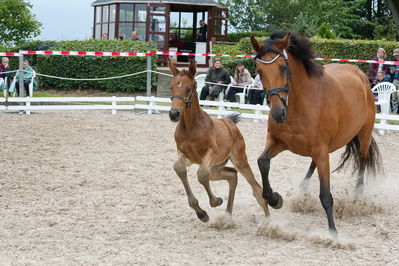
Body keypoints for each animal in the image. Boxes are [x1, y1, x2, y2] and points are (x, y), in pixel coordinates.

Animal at [169, 59, 268, 221]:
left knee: (256, 189)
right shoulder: (185, 154)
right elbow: (179, 168)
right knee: (232, 176)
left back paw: (269, 220)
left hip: (239, 160)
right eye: (171, 88)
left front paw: (214, 202)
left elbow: (202, 174)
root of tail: (230, 123)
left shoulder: (211, 153)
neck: (191, 127)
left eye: (189, 88)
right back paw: (227, 216)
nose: (173, 114)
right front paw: (201, 212)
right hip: (216, 168)